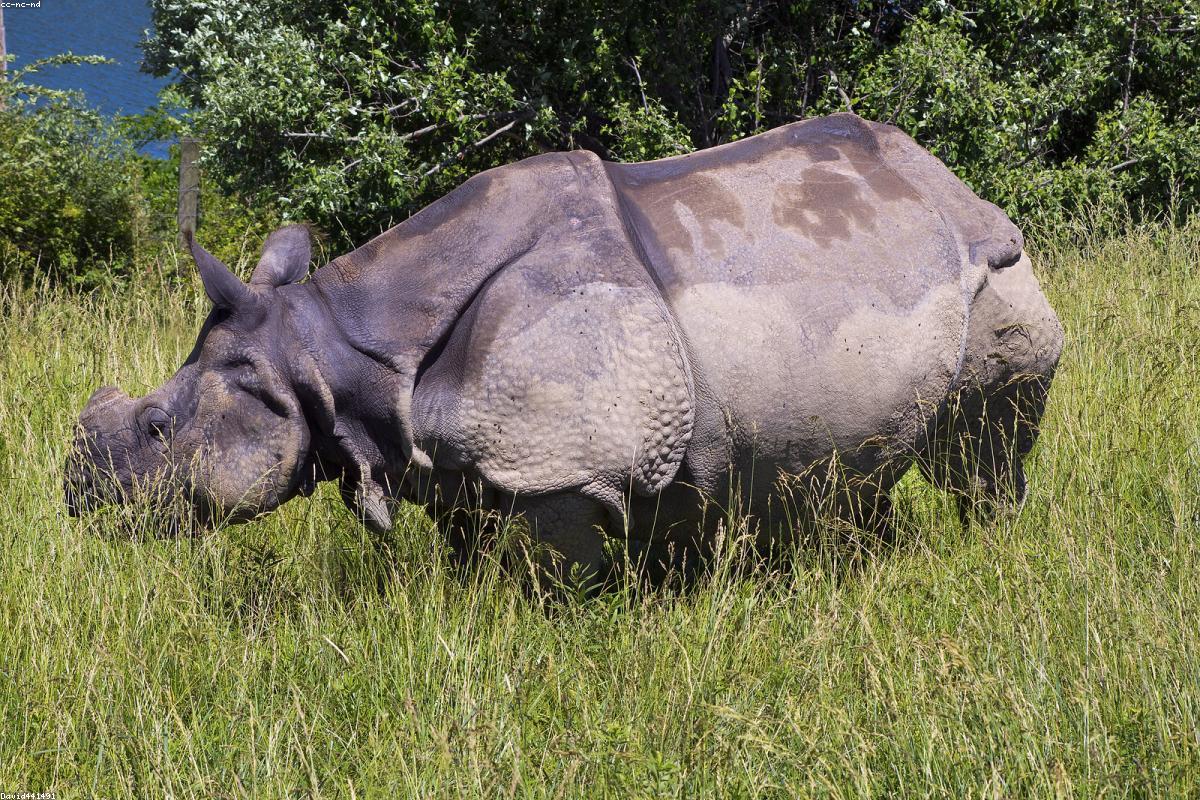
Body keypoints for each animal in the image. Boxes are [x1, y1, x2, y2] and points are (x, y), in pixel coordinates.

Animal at [66, 113, 1063, 579]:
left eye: (156, 430)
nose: (75, 501)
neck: (328, 350)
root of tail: (950, 182)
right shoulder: (459, 461)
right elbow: (470, 553)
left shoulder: (566, 469)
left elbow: (552, 577)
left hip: (998, 273)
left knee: (982, 451)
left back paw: (987, 547)